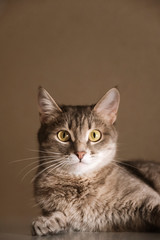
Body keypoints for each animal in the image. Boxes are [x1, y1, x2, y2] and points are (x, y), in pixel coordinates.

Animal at [31, 86, 160, 234]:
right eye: (63, 135)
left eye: (95, 135)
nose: (80, 153)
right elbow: (59, 215)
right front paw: (47, 221)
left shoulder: (150, 199)